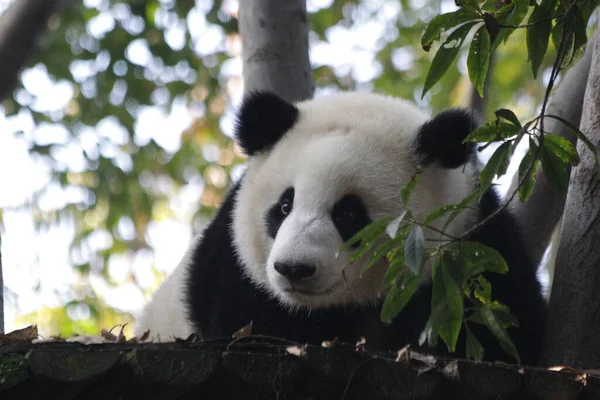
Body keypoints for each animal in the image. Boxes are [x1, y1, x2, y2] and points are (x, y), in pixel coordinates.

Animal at [137, 90, 548, 366]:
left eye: (348, 214)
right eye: (284, 206)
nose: (294, 269)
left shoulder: (472, 243)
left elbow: (511, 327)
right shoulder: (236, 271)